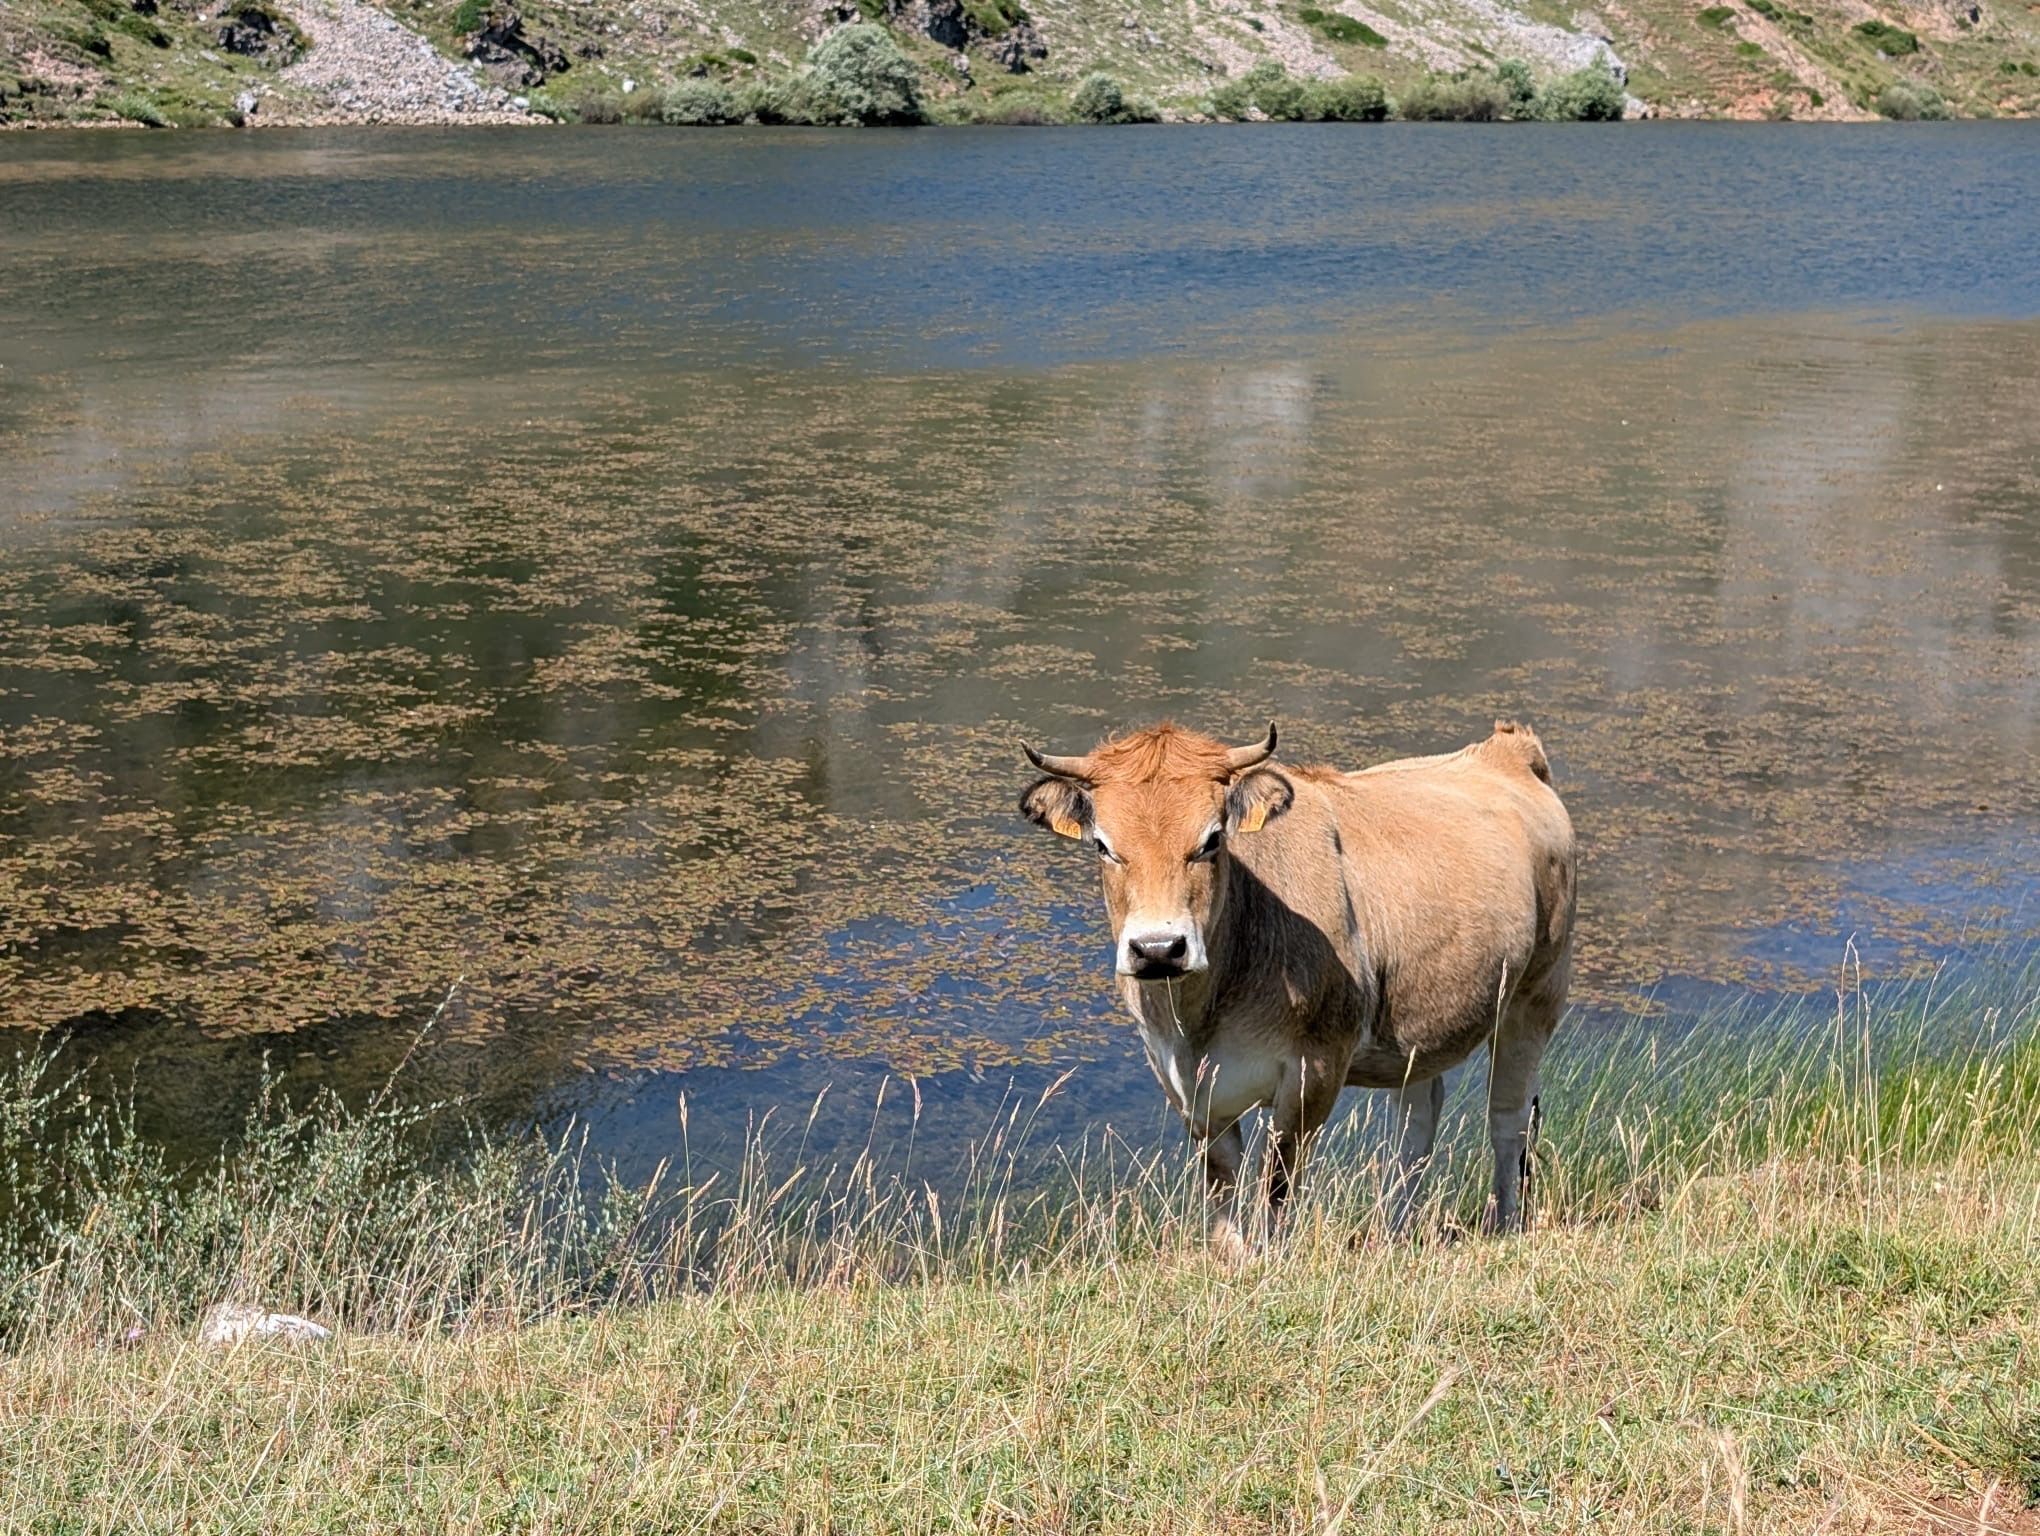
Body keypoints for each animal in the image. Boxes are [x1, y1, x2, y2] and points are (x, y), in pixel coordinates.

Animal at [1017, 719, 1575, 1248]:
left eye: (1212, 839)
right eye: (1102, 845)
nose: (1158, 949)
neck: (1199, 1020)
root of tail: (1504, 750)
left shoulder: (1317, 1067)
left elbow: (1277, 1181)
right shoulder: (1181, 1079)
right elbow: (1221, 1184)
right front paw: (1232, 1260)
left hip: (1536, 995)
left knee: (1507, 1117)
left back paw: (1506, 1222)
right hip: (1422, 1024)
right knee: (1416, 1123)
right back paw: (1393, 1233)